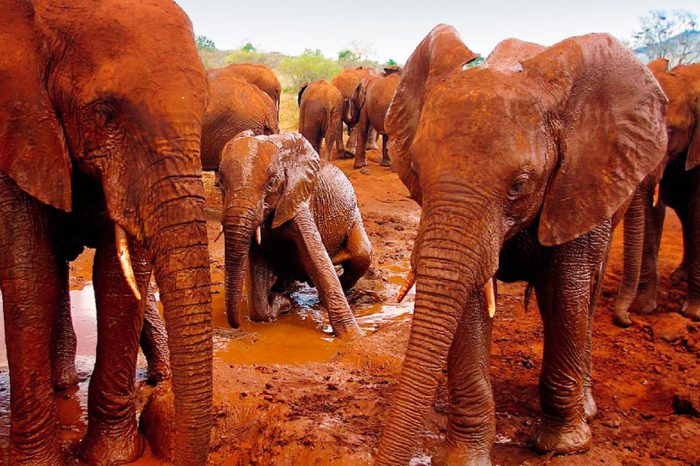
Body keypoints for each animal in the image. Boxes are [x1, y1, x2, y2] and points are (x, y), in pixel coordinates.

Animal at [219, 131, 372, 338]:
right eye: (220, 184)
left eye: (271, 184)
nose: (235, 326)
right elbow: (256, 269)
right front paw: (281, 304)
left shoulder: (299, 199)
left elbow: (317, 260)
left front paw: (354, 337)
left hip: (354, 215)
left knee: (362, 254)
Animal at [374, 26, 668, 466]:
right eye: (417, 172)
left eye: (518, 185)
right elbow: (471, 300)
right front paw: (464, 459)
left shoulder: (580, 179)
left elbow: (565, 291)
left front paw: (565, 446)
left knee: (585, 295)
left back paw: (586, 408)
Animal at [616, 59, 700, 328]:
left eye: (671, 132)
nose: (627, 320)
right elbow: (650, 216)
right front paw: (645, 308)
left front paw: (692, 314)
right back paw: (678, 277)